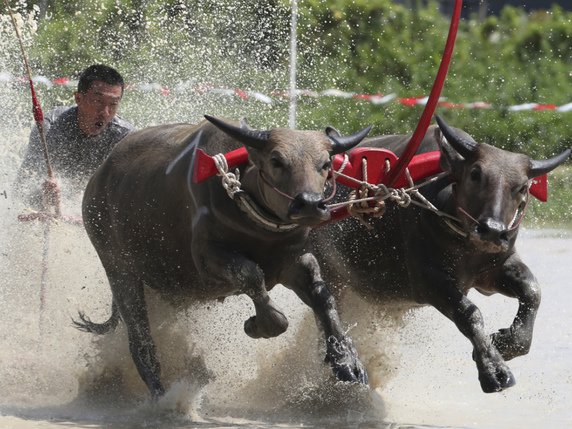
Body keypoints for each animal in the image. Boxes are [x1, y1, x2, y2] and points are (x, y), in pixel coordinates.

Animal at [75, 115, 370, 396]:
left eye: (326, 163)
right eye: (276, 161)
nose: (309, 203)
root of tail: (96, 182)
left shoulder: (293, 261)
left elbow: (322, 296)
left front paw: (347, 363)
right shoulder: (208, 260)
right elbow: (254, 279)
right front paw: (255, 325)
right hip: (119, 270)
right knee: (141, 344)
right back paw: (161, 395)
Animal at [310, 115, 568, 392]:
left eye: (522, 187)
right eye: (476, 173)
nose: (492, 230)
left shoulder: (495, 268)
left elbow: (532, 290)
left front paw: (504, 342)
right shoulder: (428, 281)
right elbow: (469, 313)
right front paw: (494, 370)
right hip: (328, 272)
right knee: (326, 309)